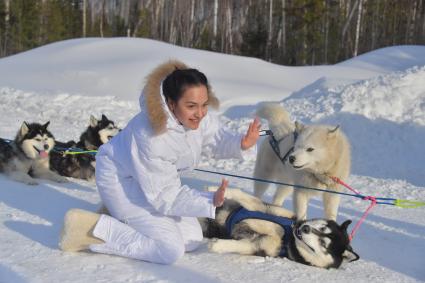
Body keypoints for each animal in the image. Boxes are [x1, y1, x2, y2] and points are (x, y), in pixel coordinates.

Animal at [197, 190, 356, 270]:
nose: (305, 228)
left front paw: (217, 245)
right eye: (323, 227)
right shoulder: (263, 208)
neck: (288, 236)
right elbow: (244, 196)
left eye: (323, 244)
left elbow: (239, 245)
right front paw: (219, 190)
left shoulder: (258, 246)